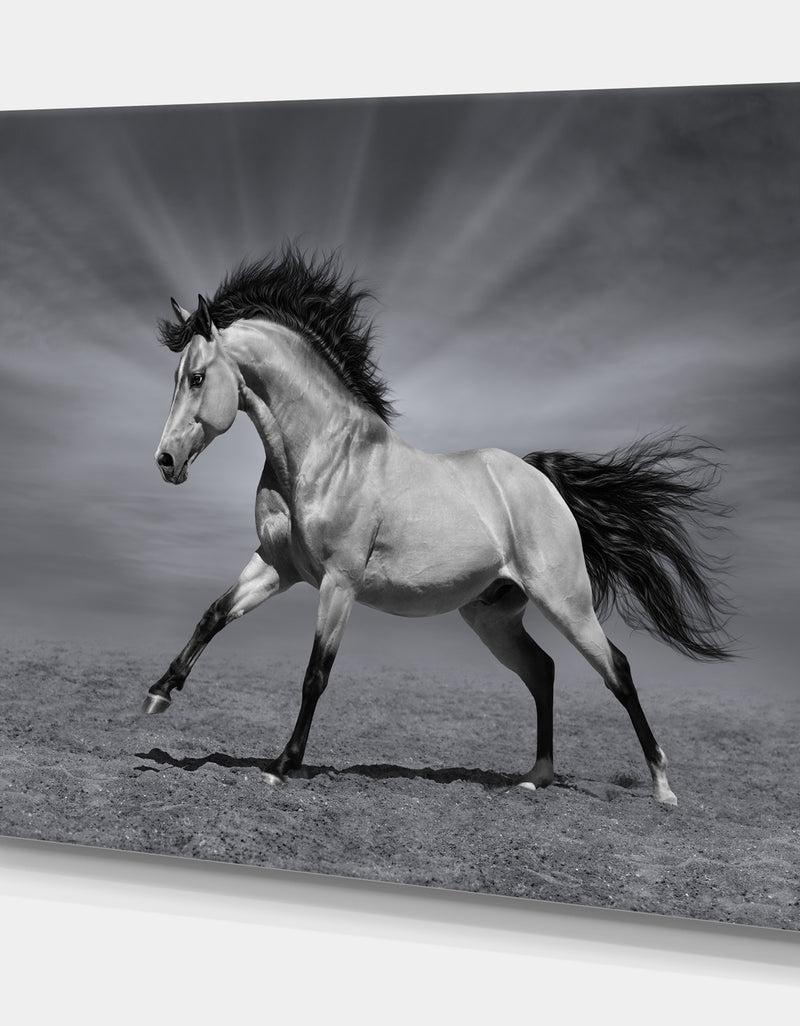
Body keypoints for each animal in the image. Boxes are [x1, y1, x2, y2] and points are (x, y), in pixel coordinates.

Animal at [144, 247, 732, 805]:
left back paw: (662, 788)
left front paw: (282, 766)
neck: (323, 454)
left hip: (566, 602)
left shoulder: (338, 583)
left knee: (618, 670)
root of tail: (541, 481)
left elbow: (316, 674)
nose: (166, 461)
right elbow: (214, 614)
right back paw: (535, 778)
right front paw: (159, 692)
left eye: (197, 377)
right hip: (493, 617)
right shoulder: (277, 565)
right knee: (542, 671)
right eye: (176, 378)